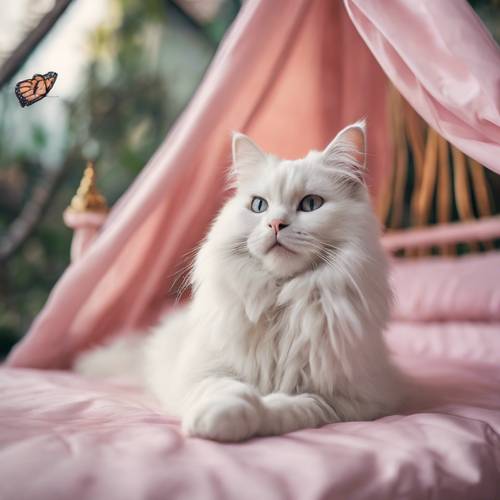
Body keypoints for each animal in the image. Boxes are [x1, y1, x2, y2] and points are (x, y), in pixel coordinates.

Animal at [76, 121, 404, 442]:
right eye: (259, 206)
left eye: (311, 204)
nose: (276, 224)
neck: (280, 302)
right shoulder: (207, 371)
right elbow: (226, 389)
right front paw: (219, 418)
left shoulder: (346, 399)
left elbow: (294, 405)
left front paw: (250, 416)